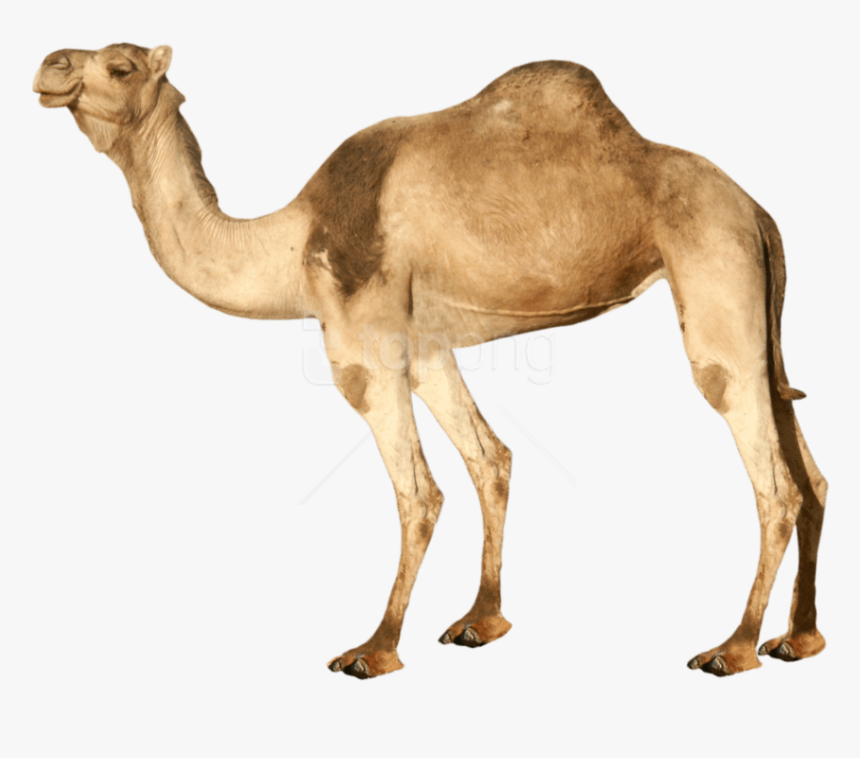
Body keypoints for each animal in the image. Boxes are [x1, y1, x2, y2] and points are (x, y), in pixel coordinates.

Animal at [33, 43, 828, 680]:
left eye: (122, 65)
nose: (50, 65)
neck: (292, 242)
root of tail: (758, 213)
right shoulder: (424, 342)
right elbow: (489, 459)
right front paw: (482, 620)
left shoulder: (361, 338)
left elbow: (418, 491)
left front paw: (375, 648)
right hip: (755, 303)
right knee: (809, 470)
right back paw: (800, 639)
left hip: (714, 267)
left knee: (771, 476)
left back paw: (734, 647)